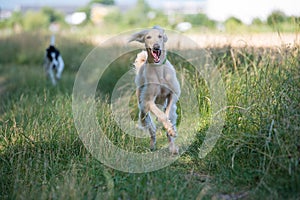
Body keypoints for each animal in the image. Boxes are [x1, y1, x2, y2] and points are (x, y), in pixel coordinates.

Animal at [129, 26, 180, 155]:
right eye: (148, 37)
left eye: (160, 36)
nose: (156, 46)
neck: (158, 69)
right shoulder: (148, 101)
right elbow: (161, 115)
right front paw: (166, 124)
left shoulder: (172, 94)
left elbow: (166, 114)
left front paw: (170, 129)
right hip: (142, 110)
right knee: (151, 128)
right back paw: (152, 145)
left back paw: (172, 147)